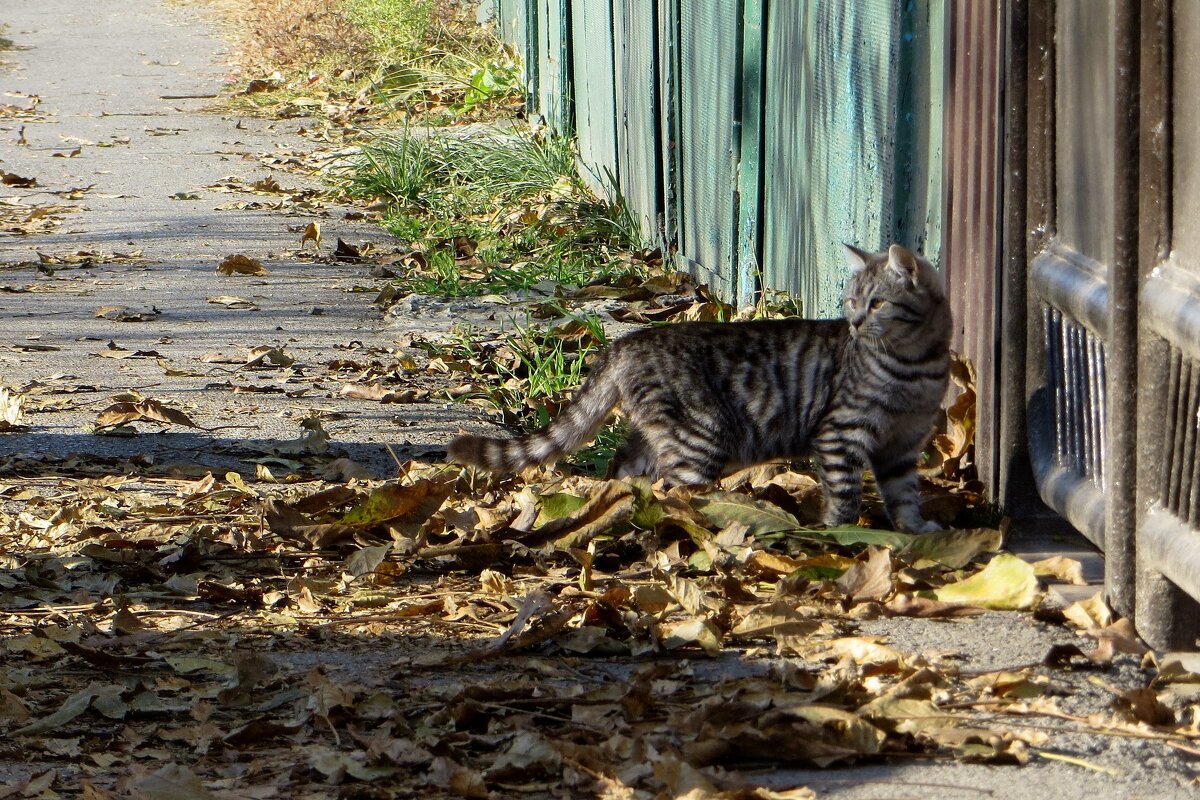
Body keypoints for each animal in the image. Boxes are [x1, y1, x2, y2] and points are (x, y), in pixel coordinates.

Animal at [446, 242, 950, 532]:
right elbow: (844, 494)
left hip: (657, 437)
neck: (916, 366)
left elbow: (905, 493)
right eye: (850, 301)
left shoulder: (903, 444)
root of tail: (626, 341)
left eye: (877, 303)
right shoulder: (840, 434)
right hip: (701, 436)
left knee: (625, 474)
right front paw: (845, 533)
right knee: (673, 491)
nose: (855, 323)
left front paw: (915, 529)